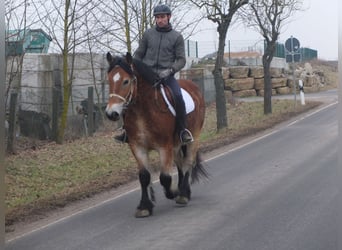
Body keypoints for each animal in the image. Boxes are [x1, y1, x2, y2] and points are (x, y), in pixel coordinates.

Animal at [105, 52, 207, 217]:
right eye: (109, 79)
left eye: (126, 81)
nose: (111, 113)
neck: (143, 111)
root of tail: (194, 87)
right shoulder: (137, 147)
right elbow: (144, 176)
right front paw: (144, 206)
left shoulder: (164, 147)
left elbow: (165, 178)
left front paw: (173, 191)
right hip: (176, 145)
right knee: (180, 164)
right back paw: (184, 191)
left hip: (193, 138)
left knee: (188, 162)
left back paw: (183, 194)